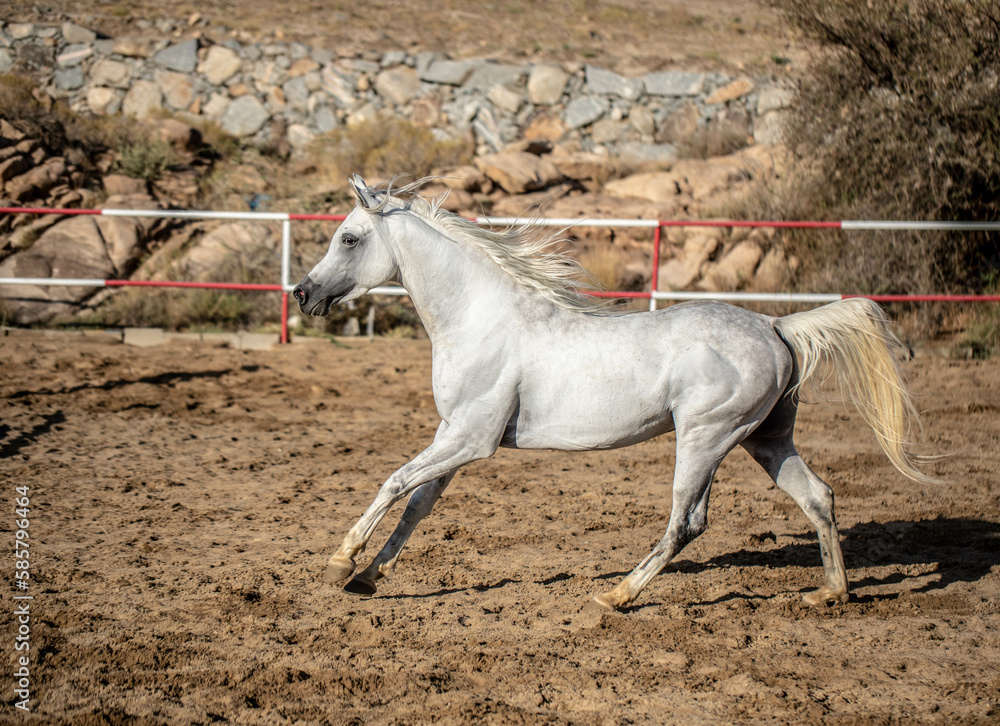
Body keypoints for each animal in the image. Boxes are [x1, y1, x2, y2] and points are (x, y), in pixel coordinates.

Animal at [293, 175, 933, 611]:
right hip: (767, 440)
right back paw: (830, 595)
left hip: (706, 437)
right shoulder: (453, 436)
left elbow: (394, 482)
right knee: (819, 497)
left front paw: (339, 564)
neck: (481, 320)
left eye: (349, 238)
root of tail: (776, 325)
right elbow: (417, 503)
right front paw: (369, 576)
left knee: (687, 522)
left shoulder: (473, 440)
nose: (303, 293)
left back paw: (617, 596)